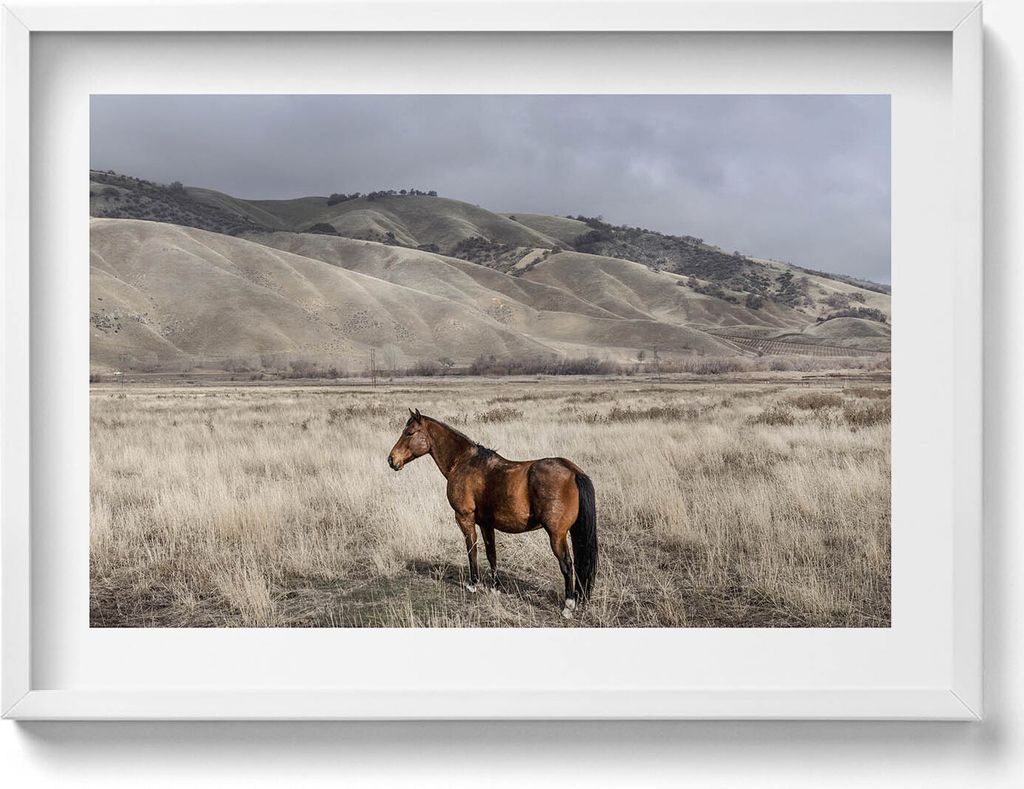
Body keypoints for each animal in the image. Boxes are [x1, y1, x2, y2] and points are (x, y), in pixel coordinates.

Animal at [387, 409, 597, 618]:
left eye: (409, 433)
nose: (391, 460)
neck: (463, 462)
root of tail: (573, 472)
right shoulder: (486, 523)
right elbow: (491, 554)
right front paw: (495, 587)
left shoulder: (464, 518)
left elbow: (472, 549)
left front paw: (473, 583)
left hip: (556, 534)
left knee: (567, 565)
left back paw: (568, 606)